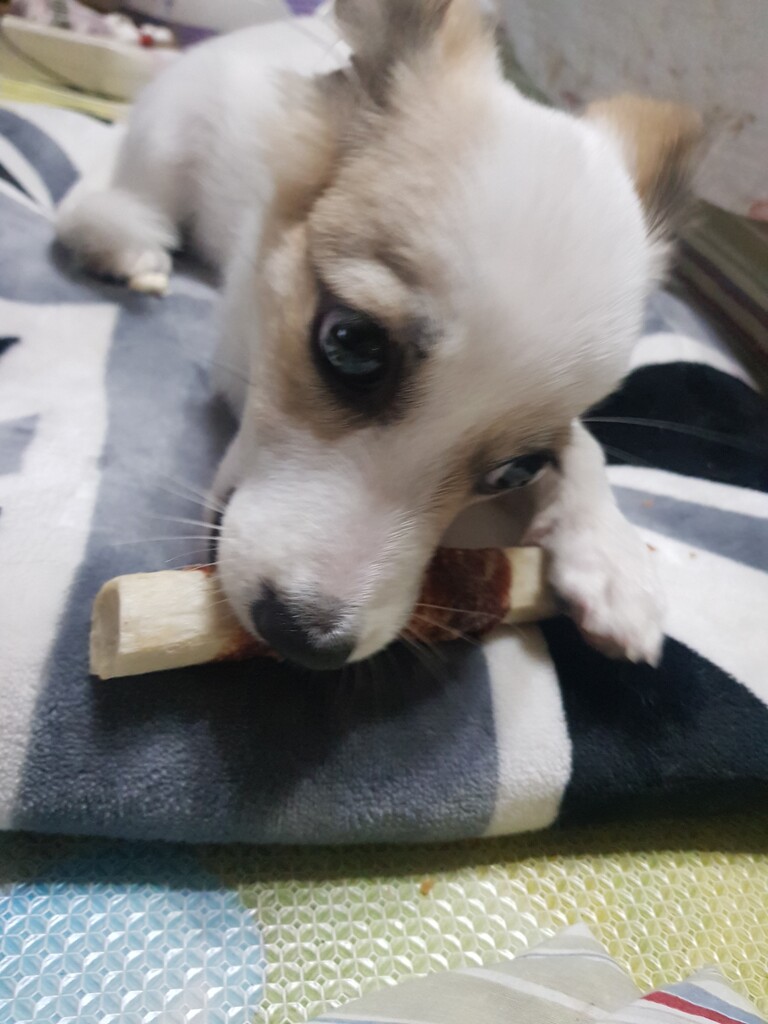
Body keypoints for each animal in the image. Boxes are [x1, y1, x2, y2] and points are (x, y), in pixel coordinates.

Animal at [57, 0, 701, 671]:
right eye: (350, 344)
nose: (308, 642)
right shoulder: (235, 349)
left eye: (518, 471)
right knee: (97, 204)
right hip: (167, 141)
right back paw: (126, 244)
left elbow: (582, 444)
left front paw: (612, 554)